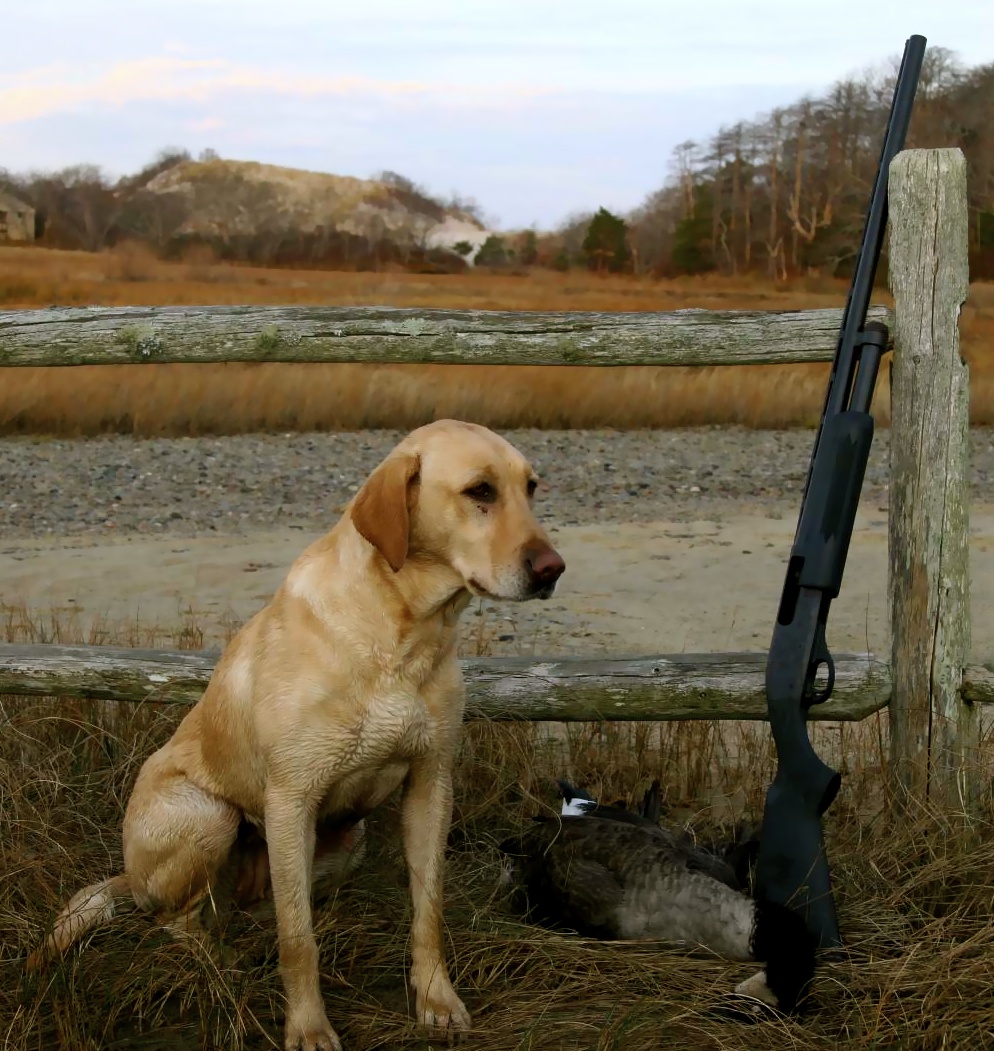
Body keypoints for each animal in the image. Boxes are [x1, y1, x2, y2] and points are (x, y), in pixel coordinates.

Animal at [27, 420, 563, 1051]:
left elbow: (427, 911)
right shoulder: (291, 798)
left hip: (343, 842)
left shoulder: (431, 784)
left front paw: (436, 998)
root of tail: (128, 877)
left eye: (531, 488)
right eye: (480, 491)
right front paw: (308, 1027)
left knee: (252, 909)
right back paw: (219, 962)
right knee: (179, 919)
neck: (402, 635)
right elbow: (299, 940)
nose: (553, 569)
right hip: (208, 815)